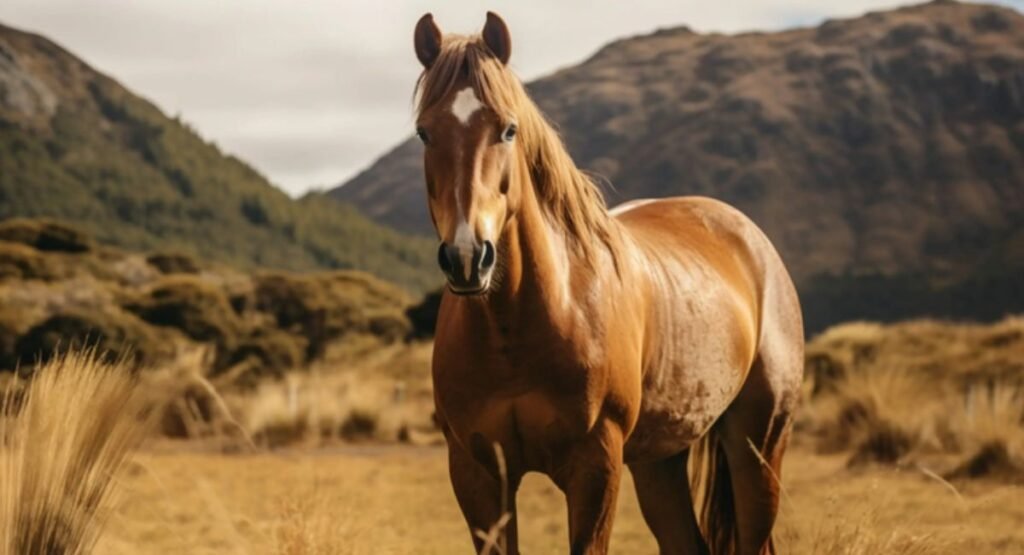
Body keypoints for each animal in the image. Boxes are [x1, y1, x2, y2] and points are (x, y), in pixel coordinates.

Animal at [413, 12, 803, 555]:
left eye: (508, 129)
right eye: (424, 133)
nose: (468, 258)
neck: (517, 328)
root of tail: (752, 239)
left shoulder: (594, 467)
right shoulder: (477, 475)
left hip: (758, 445)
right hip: (659, 461)